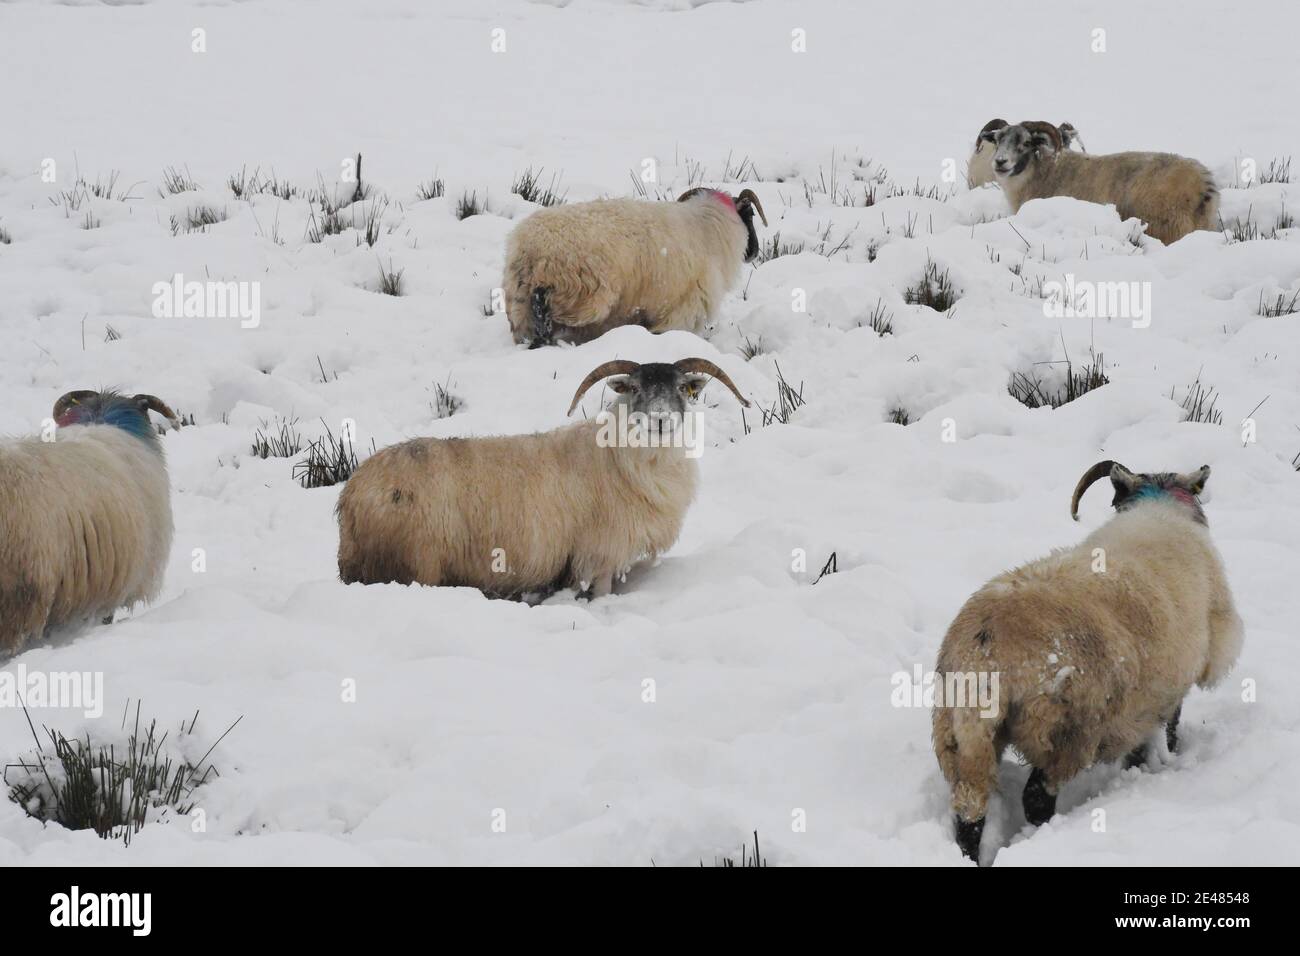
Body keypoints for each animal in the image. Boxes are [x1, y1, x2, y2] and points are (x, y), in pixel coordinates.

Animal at [335, 358, 754, 598]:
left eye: (682, 388)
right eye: (634, 388)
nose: (661, 420)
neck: (619, 457)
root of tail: (353, 494)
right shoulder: (599, 553)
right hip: (416, 564)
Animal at [501, 187, 764, 348]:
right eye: (751, 215)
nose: (754, 252)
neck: (709, 230)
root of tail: (533, 248)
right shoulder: (684, 307)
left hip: (519, 302)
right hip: (580, 295)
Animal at [930, 460, 1242, 863]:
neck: (1161, 509)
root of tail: (987, 645)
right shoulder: (1174, 681)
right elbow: (1168, 727)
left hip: (958, 731)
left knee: (969, 811)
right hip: (1065, 728)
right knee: (1036, 796)